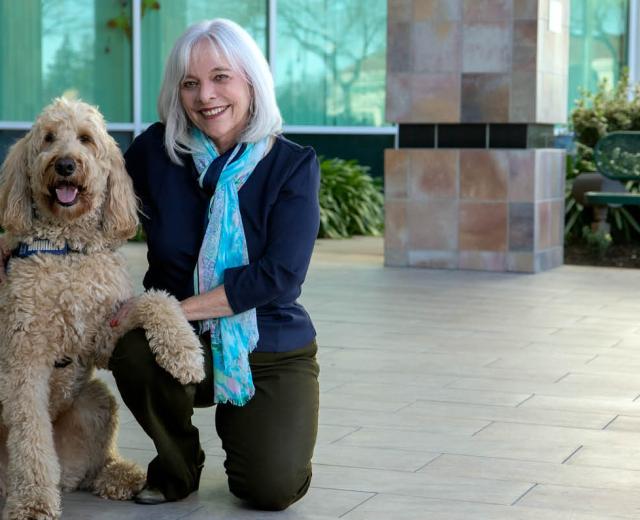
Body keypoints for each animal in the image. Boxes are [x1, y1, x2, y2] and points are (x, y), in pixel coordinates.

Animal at [0, 98, 205, 520]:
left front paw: (185, 354)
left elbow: (155, 299)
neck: (68, 249)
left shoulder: (102, 335)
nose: (65, 164)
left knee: (88, 468)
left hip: (95, 400)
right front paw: (33, 501)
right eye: (48, 138)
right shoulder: (24, 361)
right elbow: (30, 435)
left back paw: (119, 475)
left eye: (85, 139)